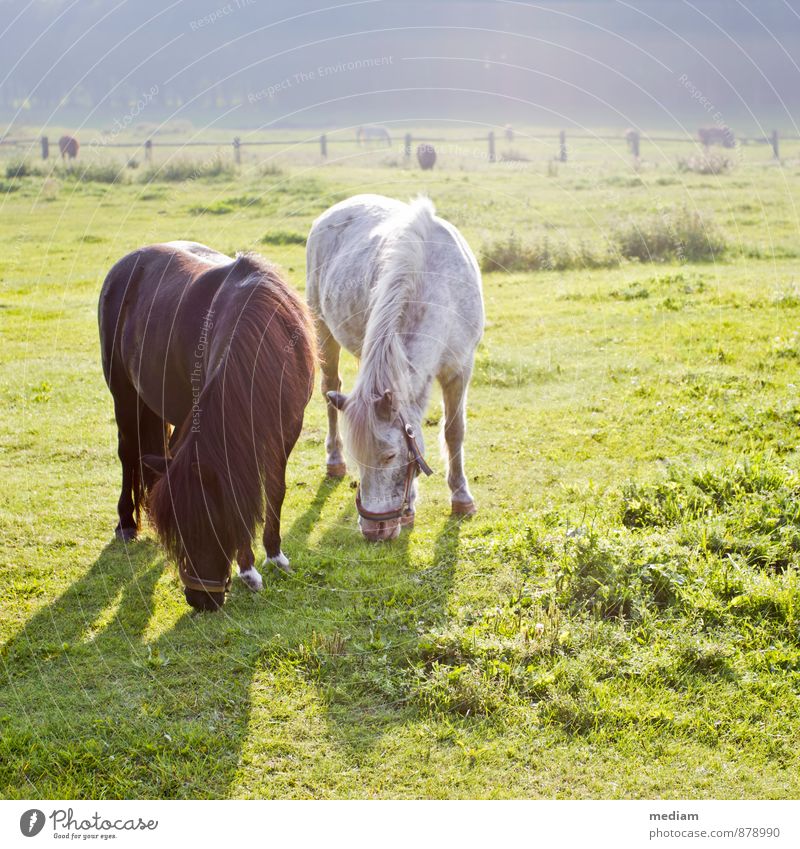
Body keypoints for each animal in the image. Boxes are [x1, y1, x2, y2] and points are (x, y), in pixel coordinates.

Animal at [97, 242, 316, 608]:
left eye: (214, 525)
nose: (201, 600)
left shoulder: (287, 429)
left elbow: (274, 489)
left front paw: (274, 555)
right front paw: (248, 570)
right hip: (125, 396)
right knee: (128, 453)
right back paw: (126, 523)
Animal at [304, 193, 482, 540]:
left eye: (389, 456)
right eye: (360, 458)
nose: (375, 529)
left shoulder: (460, 369)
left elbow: (454, 431)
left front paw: (461, 498)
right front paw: (410, 506)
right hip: (323, 330)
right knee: (330, 389)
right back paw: (334, 461)